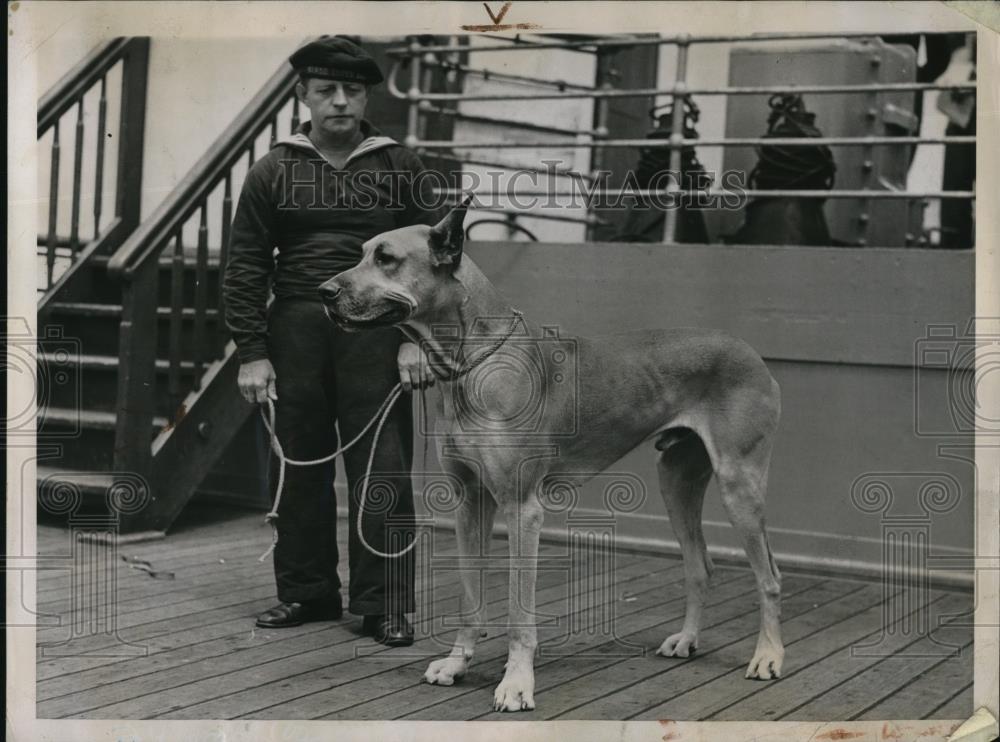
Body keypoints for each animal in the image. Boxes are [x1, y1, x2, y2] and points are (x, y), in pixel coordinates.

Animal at [320, 203, 780, 716]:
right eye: (361, 252)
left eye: (386, 258)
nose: (324, 292)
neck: (473, 363)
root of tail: (750, 351)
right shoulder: (469, 502)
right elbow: (470, 594)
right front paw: (457, 663)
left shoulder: (523, 509)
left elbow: (520, 612)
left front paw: (517, 682)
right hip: (676, 481)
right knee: (701, 566)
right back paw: (687, 639)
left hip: (739, 484)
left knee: (770, 578)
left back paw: (768, 656)